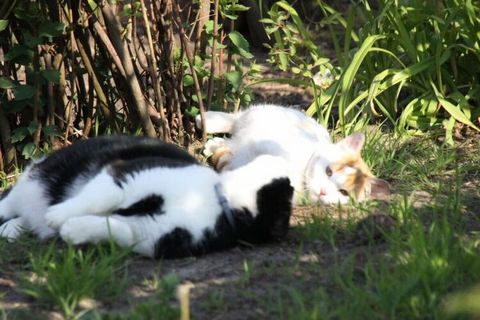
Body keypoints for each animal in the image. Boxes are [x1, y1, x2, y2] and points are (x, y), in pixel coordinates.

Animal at [0, 135, 292, 258]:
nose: (290, 180)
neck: (217, 203)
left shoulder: (153, 237)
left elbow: (116, 228)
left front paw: (72, 230)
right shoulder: (129, 174)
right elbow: (103, 196)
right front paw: (59, 215)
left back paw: (13, 229)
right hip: (44, 175)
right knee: (12, 200)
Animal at [196, 105, 390, 205]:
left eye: (343, 193)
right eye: (328, 172)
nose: (323, 191)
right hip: (261, 115)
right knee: (235, 119)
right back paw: (205, 120)